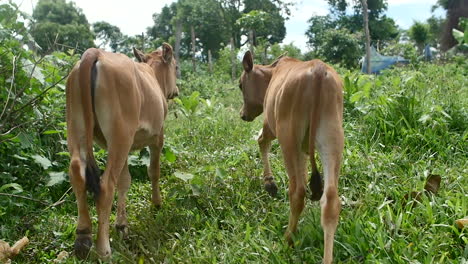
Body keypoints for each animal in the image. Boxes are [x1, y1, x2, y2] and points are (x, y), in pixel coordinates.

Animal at [64, 42, 177, 258]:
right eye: (176, 67)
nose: (176, 91)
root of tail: (96, 53)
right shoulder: (158, 137)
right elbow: (154, 172)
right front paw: (157, 203)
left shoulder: (126, 146)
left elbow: (124, 181)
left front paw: (122, 225)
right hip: (120, 134)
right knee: (106, 185)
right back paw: (103, 249)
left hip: (78, 128)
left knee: (77, 171)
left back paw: (83, 236)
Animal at [239, 51, 346, 264]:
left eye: (240, 85)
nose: (243, 114)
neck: (272, 72)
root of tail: (318, 71)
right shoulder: (304, 149)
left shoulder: (270, 125)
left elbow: (261, 141)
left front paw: (270, 183)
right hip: (333, 137)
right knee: (330, 200)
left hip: (288, 136)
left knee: (297, 191)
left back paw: (287, 239)